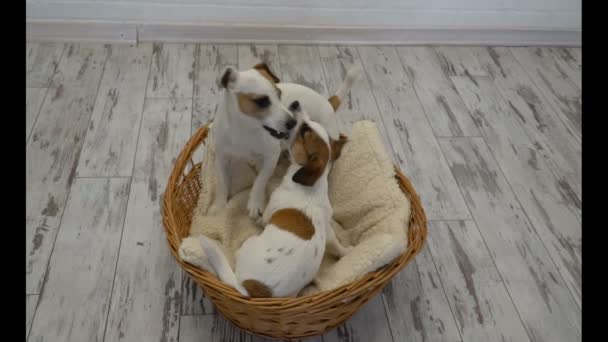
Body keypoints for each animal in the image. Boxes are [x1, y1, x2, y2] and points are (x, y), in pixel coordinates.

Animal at [183, 103, 350, 298]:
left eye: (303, 131)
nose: (296, 104)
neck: (311, 186)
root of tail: (252, 289)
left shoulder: (271, 210)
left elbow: (264, 218)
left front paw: (258, 219)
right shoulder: (328, 230)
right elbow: (335, 243)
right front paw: (345, 251)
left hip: (248, 244)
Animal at [209, 62, 360, 220]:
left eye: (279, 94)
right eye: (262, 101)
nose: (292, 122)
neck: (245, 130)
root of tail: (328, 102)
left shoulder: (271, 157)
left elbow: (260, 181)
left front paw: (255, 203)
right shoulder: (222, 159)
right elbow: (222, 184)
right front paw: (219, 206)